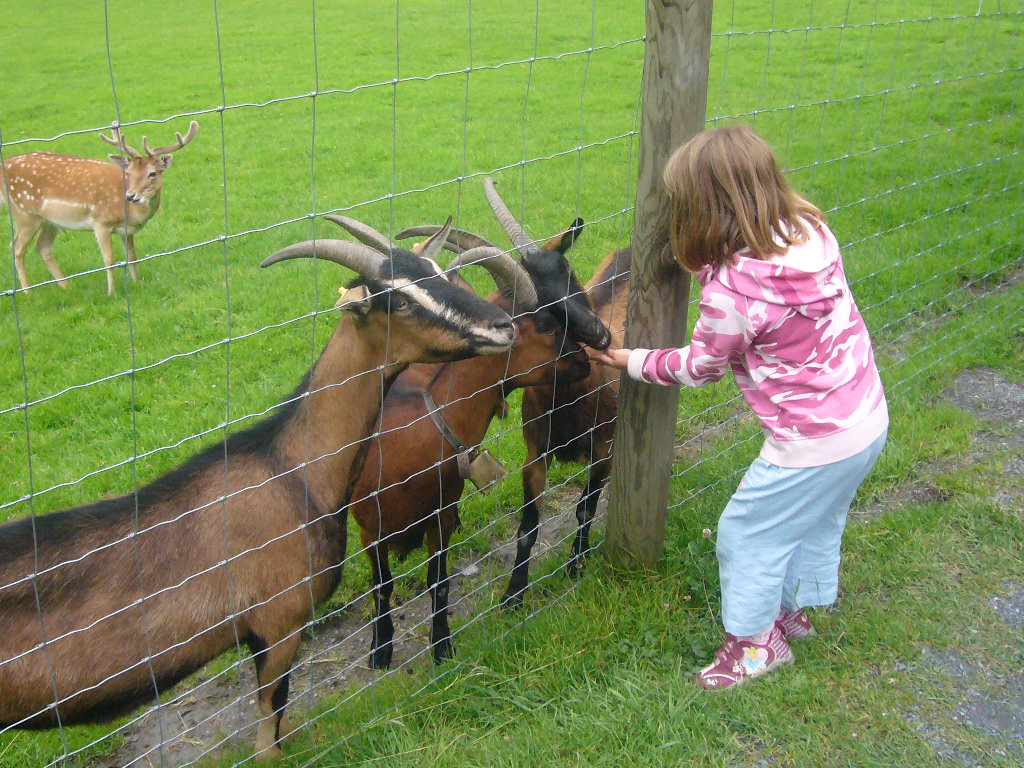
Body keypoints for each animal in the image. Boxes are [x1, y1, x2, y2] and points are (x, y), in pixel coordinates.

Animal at [0, 218, 516, 761]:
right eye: (397, 300)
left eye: (437, 270)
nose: (504, 326)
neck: (291, 471)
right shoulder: (278, 623)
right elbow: (270, 725)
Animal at [1, 120, 198, 295]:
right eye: (129, 173)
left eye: (152, 174)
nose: (131, 196)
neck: (130, 214)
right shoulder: (100, 222)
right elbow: (109, 260)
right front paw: (111, 293)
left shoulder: (126, 230)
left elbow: (132, 256)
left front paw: (136, 283)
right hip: (24, 213)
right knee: (17, 247)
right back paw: (27, 292)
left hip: (50, 221)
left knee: (42, 247)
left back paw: (66, 286)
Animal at [332, 214, 592, 669]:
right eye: (546, 325)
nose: (586, 361)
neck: (419, 425)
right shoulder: (369, 528)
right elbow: (382, 588)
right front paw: (380, 652)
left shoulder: (441, 513)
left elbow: (439, 581)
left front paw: (442, 647)